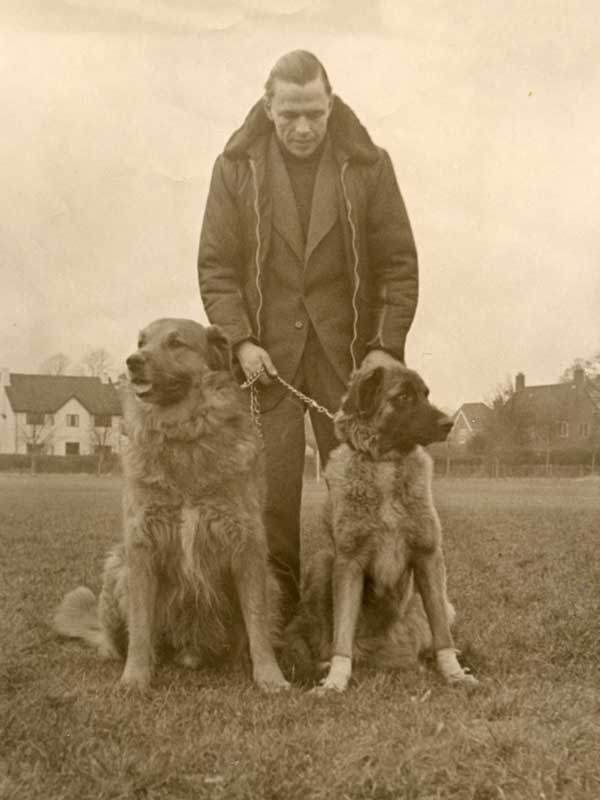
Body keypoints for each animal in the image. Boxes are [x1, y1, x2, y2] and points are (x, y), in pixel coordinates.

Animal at [55, 318, 290, 692]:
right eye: (141, 342)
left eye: (176, 343)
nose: (133, 361)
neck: (183, 434)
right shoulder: (141, 546)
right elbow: (140, 628)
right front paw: (135, 677)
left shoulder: (248, 547)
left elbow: (257, 623)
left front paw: (269, 676)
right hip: (117, 568)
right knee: (119, 640)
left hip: (271, 581)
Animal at [286, 366, 478, 692]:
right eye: (403, 397)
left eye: (425, 394)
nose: (449, 424)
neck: (385, 463)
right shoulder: (348, 562)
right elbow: (341, 635)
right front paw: (336, 679)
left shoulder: (428, 557)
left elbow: (442, 632)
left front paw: (453, 673)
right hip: (323, 563)